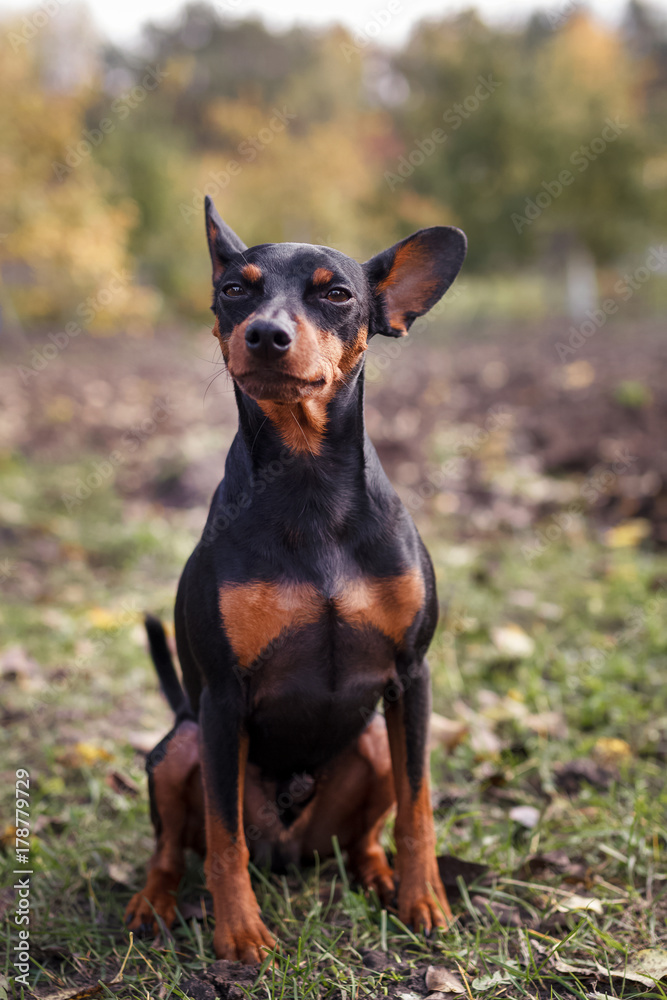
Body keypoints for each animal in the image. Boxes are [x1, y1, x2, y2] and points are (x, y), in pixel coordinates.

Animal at [128, 199, 468, 964]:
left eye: (336, 294)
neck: (309, 483)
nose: (265, 333)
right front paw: (240, 934)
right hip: (184, 740)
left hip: (371, 741)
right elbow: (224, 836)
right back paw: (153, 901)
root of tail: (288, 849)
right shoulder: (222, 697)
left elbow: (419, 807)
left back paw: (379, 876)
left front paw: (425, 899)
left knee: (366, 831)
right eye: (234, 290)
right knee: (176, 849)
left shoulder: (412, 675)